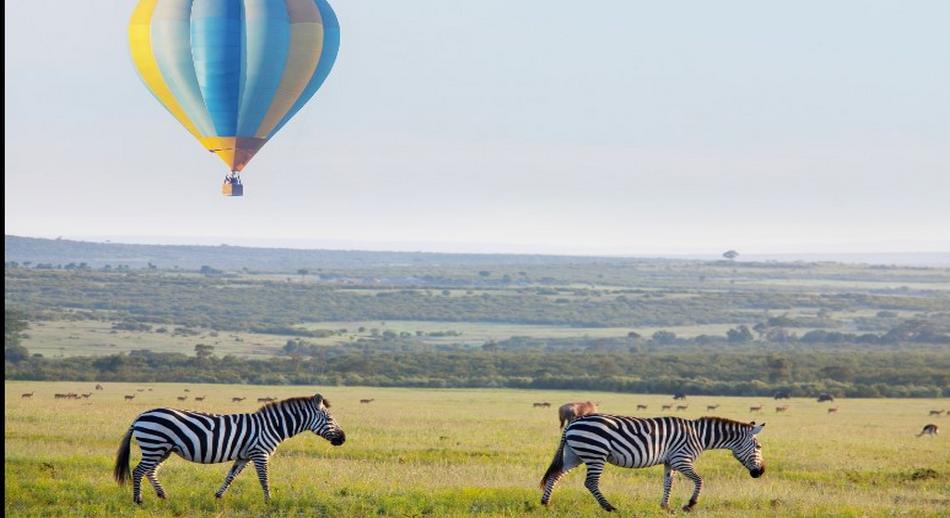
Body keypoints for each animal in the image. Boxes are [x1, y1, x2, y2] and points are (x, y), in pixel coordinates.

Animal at [114, 396, 346, 506]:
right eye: (330, 419)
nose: (343, 439)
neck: (272, 426)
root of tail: (141, 416)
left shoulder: (244, 456)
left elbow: (231, 476)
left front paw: (218, 496)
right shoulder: (260, 453)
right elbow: (264, 479)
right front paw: (268, 501)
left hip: (163, 448)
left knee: (150, 471)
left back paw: (163, 496)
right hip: (154, 444)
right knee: (138, 471)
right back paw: (138, 500)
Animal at [540, 416, 768, 512]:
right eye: (758, 446)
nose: (761, 472)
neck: (700, 436)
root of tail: (574, 421)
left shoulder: (670, 461)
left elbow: (668, 483)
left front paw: (666, 507)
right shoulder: (681, 459)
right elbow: (700, 480)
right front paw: (690, 504)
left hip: (575, 454)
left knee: (555, 475)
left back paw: (545, 503)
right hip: (596, 454)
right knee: (590, 483)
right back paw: (609, 507)